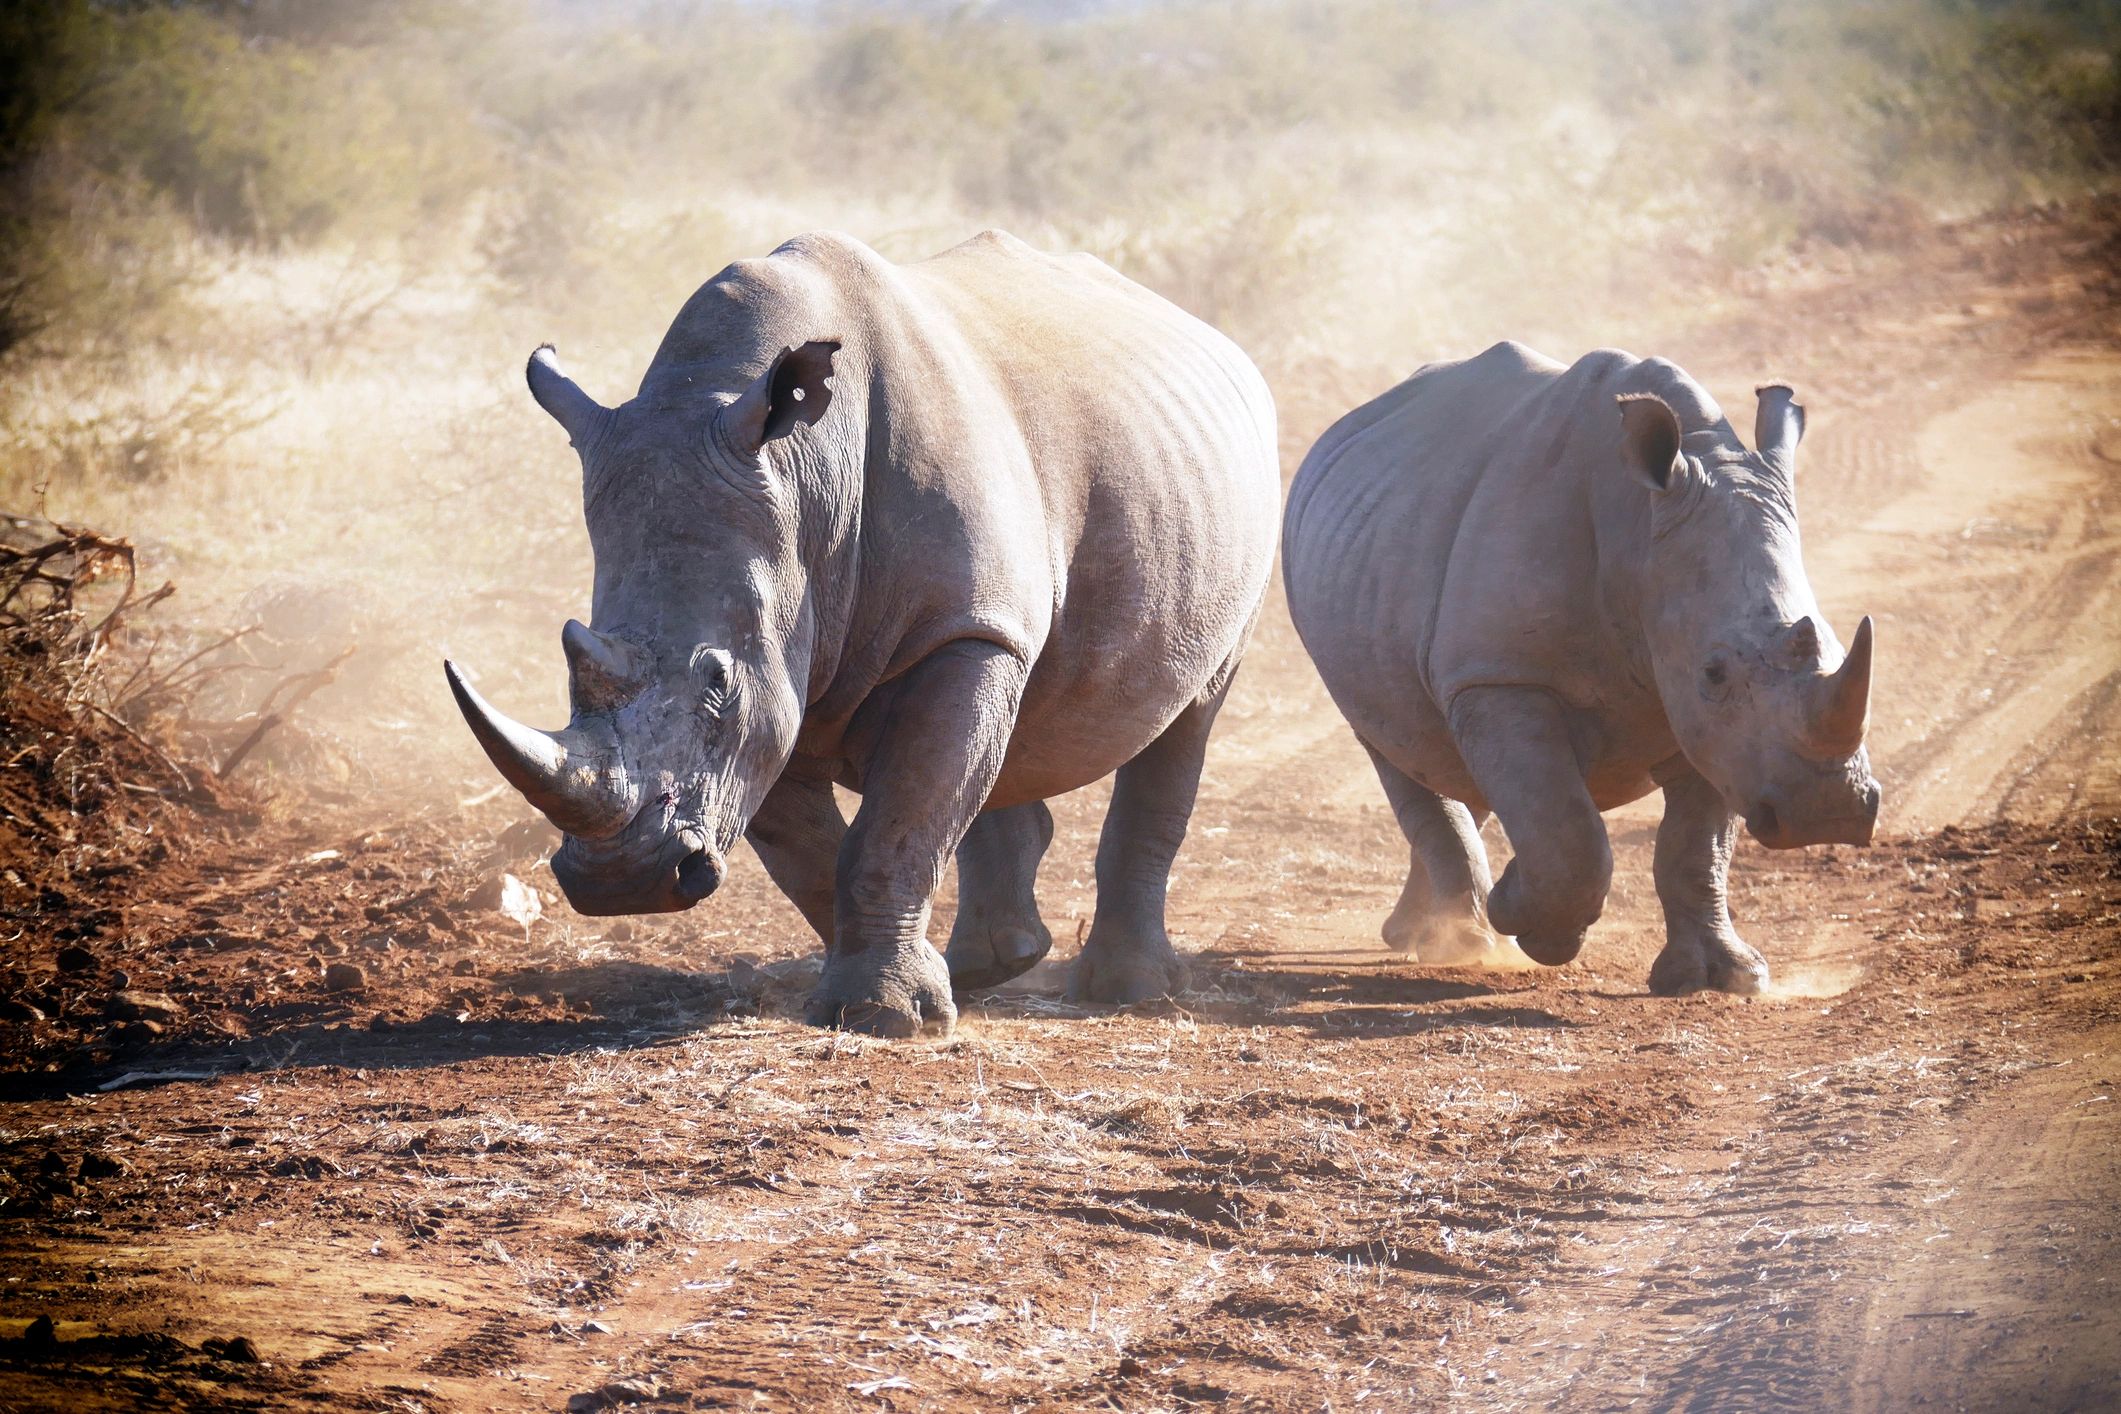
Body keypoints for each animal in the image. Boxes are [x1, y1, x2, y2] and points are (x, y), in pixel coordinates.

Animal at [446, 230, 1279, 1035]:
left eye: (717, 681)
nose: (621, 882)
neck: (802, 475)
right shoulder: (786, 679)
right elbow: (821, 845)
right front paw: (903, 991)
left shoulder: (938, 634)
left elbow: (894, 822)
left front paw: (886, 1016)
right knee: (1004, 721)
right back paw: (990, 966)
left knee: (1188, 713)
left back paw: (1127, 990)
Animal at [1283, 342, 1878, 994]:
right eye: (1715, 673)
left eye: (1831, 646)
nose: (1827, 811)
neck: (1639, 531)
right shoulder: (1505, 674)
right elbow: (1568, 835)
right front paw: (1534, 927)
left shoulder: (1715, 727)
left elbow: (1696, 845)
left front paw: (1722, 978)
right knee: (1392, 743)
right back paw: (1461, 940)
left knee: (1445, 748)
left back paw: (1422, 933)